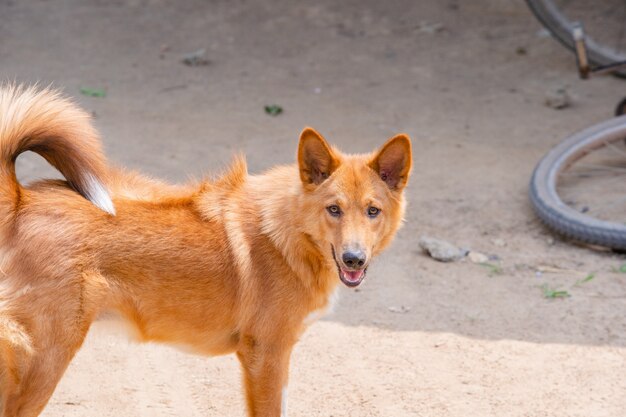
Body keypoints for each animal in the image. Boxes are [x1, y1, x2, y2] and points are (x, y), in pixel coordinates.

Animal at [0, 85, 410, 416]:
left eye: (372, 211)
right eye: (334, 209)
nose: (354, 258)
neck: (289, 233)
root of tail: (21, 200)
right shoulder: (265, 356)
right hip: (45, 362)